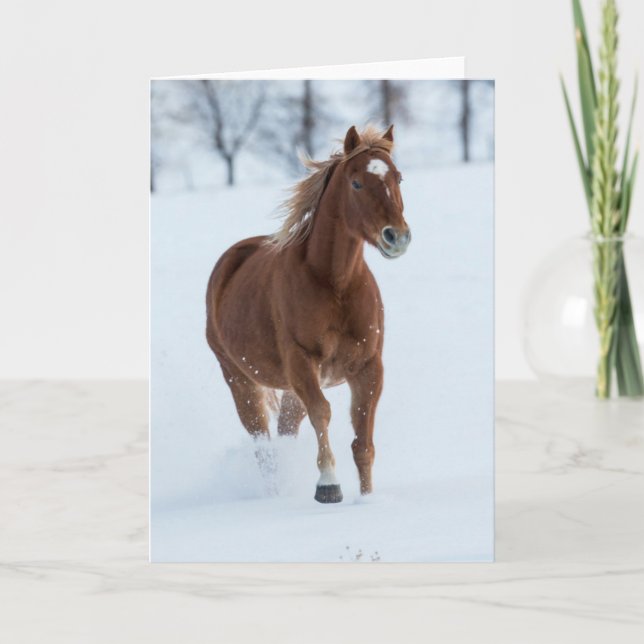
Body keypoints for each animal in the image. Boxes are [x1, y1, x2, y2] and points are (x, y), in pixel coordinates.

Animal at [205, 124, 411, 503]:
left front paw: (367, 499)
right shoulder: (302, 361)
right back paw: (273, 495)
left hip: (289, 389)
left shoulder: (368, 366)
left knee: (285, 430)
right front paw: (328, 486)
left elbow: (363, 441)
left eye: (398, 178)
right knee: (262, 443)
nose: (397, 237)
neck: (335, 283)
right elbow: (323, 413)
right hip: (240, 380)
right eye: (356, 183)